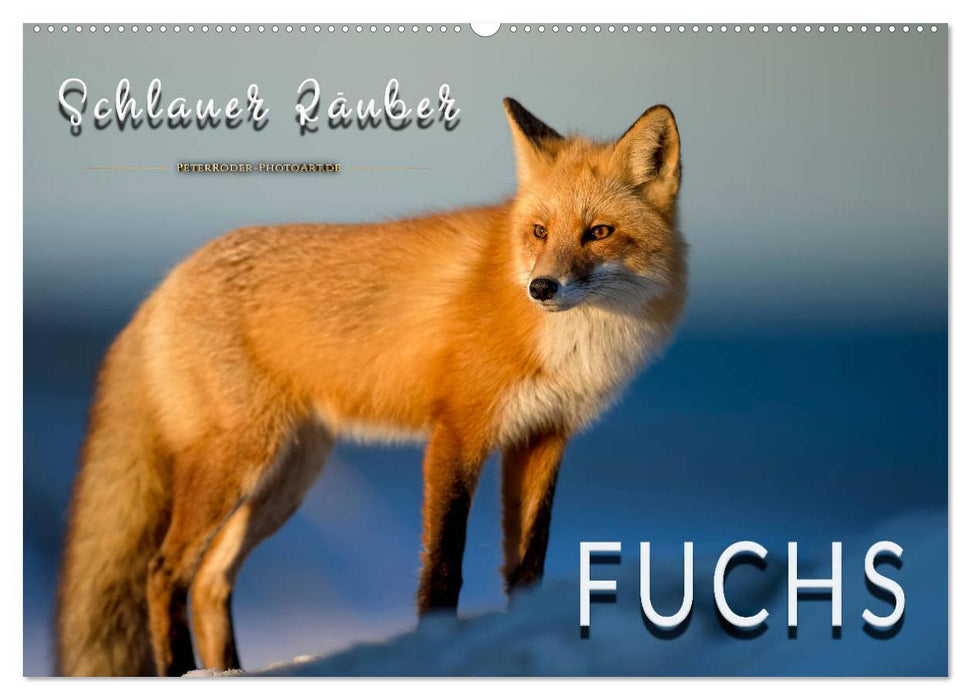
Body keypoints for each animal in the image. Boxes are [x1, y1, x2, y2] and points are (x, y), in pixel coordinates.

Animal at [55, 97, 687, 676]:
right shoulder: (457, 431)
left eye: (598, 232)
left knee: (210, 580)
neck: (573, 343)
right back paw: (183, 671)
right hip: (239, 462)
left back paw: (227, 672)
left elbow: (527, 565)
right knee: (163, 572)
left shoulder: (543, 437)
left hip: (287, 478)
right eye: (539, 231)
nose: (542, 287)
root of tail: (164, 285)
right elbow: (444, 565)